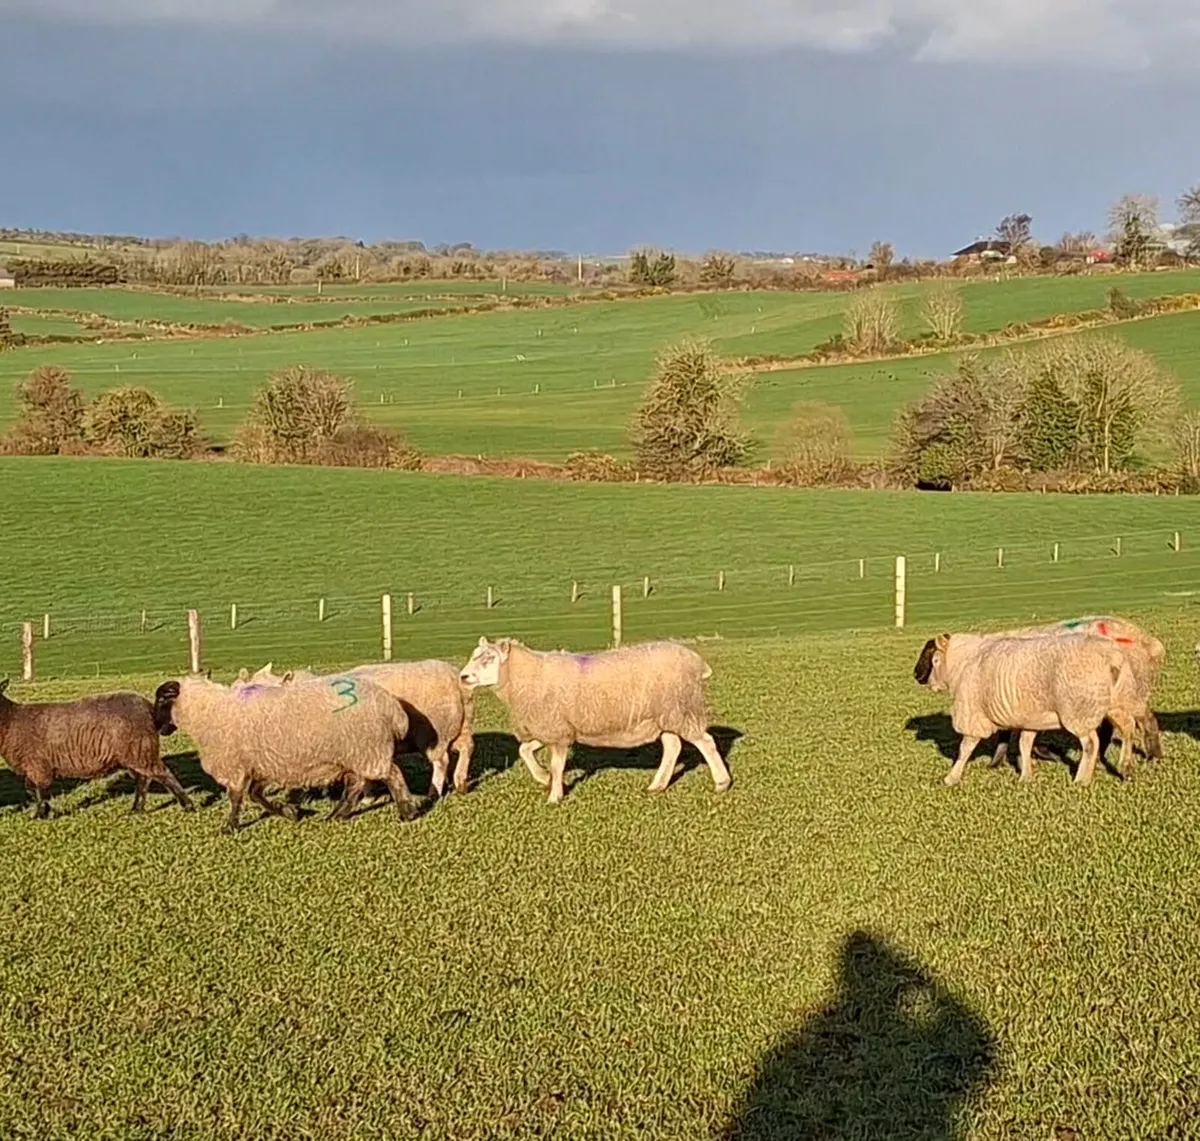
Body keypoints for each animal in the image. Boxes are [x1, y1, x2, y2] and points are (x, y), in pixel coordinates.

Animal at [0, 678, 194, 818]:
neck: (11, 719)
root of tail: (150, 711)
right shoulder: (34, 766)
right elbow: (34, 791)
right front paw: (45, 812)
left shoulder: (36, 765)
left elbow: (37, 791)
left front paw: (40, 815)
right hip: (135, 753)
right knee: (143, 779)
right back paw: (135, 810)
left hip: (140, 750)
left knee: (163, 773)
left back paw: (188, 806)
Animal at [153, 673, 419, 833]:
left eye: (161, 700)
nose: (157, 727)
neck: (209, 712)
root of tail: (392, 707)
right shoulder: (261, 764)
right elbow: (255, 795)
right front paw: (291, 812)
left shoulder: (236, 765)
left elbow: (237, 797)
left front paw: (230, 827)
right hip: (355, 753)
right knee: (355, 786)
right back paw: (336, 815)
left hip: (369, 749)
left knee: (392, 775)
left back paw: (407, 812)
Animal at [235, 659, 475, 797]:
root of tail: (455, 678)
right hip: (460, 726)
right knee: (467, 748)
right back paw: (460, 783)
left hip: (434, 733)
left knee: (441, 761)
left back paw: (434, 791)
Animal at [457, 636, 731, 804]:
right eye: (474, 655)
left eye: (489, 658)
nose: (463, 677)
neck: (526, 678)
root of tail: (696, 662)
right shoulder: (555, 728)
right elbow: (525, 750)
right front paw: (544, 778)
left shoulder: (558, 731)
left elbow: (556, 765)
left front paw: (554, 796)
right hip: (665, 716)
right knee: (673, 747)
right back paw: (658, 785)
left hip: (682, 710)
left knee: (705, 742)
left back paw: (722, 782)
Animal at [914, 615, 1164, 767]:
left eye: (931, 654)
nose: (916, 675)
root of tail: (1149, 643)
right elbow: (1009, 732)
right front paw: (1002, 761)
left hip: (1124, 692)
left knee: (1142, 721)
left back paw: (1150, 755)